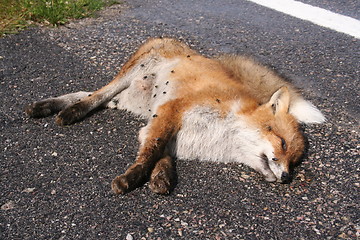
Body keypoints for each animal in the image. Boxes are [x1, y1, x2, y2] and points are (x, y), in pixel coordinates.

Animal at [23, 38, 324, 195]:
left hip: (128, 101)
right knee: (96, 95)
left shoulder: (159, 121)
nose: (286, 177)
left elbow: (158, 151)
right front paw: (131, 179)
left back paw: (48, 106)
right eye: (282, 144)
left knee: (90, 94)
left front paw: (162, 176)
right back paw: (68, 112)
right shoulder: (172, 110)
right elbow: (151, 152)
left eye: (294, 161)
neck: (222, 137)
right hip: (132, 73)